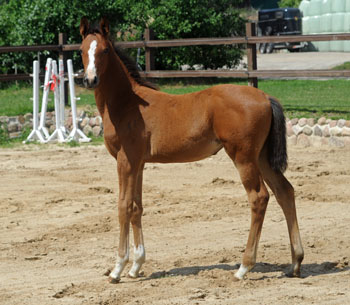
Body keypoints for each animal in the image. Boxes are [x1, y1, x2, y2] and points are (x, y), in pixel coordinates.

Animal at [79, 17, 304, 282]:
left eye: (104, 50)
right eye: (82, 50)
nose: (90, 80)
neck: (127, 104)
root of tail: (266, 96)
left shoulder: (125, 161)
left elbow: (123, 206)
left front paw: (118, 268)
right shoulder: (139, 163)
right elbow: (137, 207)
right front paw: (136, 266)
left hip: (244, 157)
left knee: (259, 198)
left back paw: (244, 267)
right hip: (261, 157)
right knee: (285, 192)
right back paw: (295, 263)